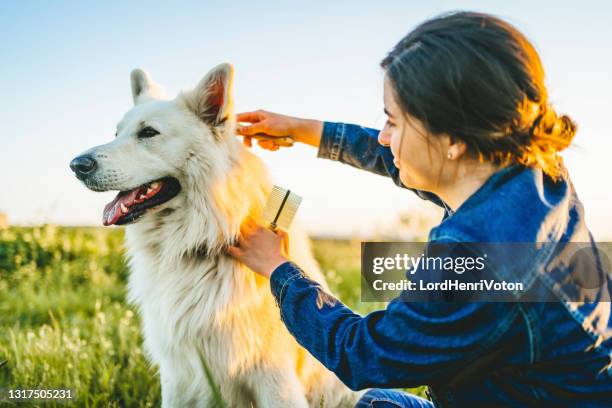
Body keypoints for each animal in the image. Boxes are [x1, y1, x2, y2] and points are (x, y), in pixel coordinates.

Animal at [70, 63, 358, 408]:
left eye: (148, 133)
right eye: (117, 134)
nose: (76, 165)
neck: (198, 245)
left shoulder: (274, 378)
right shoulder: (177, 374)